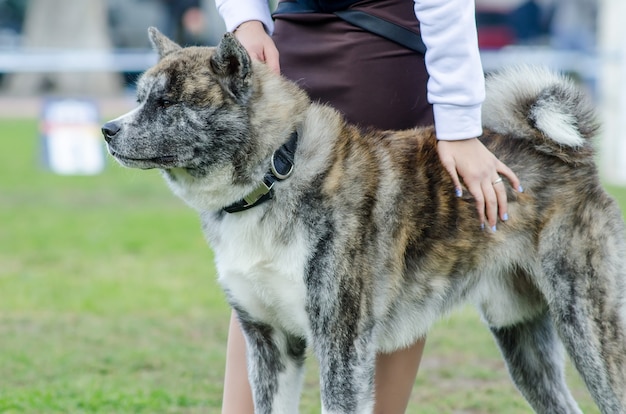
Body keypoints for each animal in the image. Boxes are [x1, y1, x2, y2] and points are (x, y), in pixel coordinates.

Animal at [103, 27, 624, 412]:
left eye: (167, 103)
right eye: (141, 96)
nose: (107, 130)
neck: (275, 174)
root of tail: (565, 156)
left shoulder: (342, 345)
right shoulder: (270, 344)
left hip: (589, 328)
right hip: (521, 337)